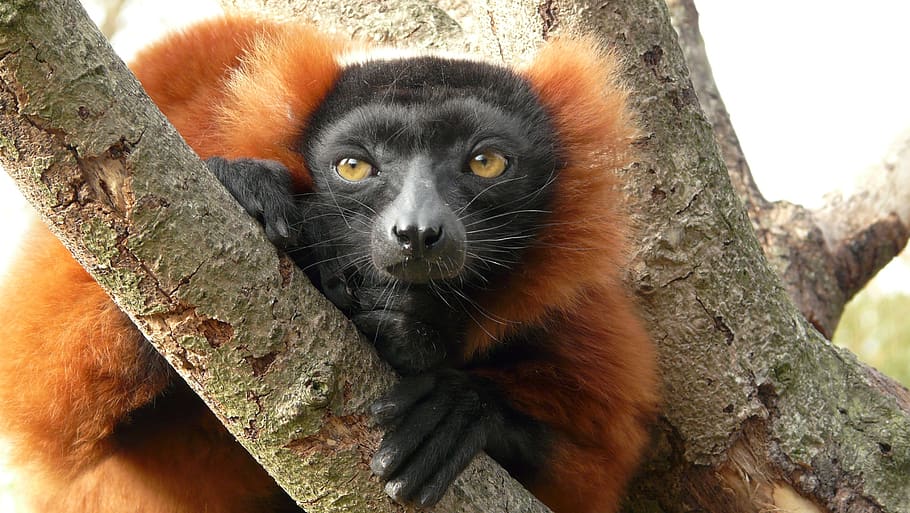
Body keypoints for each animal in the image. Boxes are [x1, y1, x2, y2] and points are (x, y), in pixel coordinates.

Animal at [0, 15, 658, 513]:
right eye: (354, 167)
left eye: (486, 163)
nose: (416, 232)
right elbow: (40, 402)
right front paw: (250, 190)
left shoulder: (576, 304)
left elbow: (601, 469)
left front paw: (461, 406)